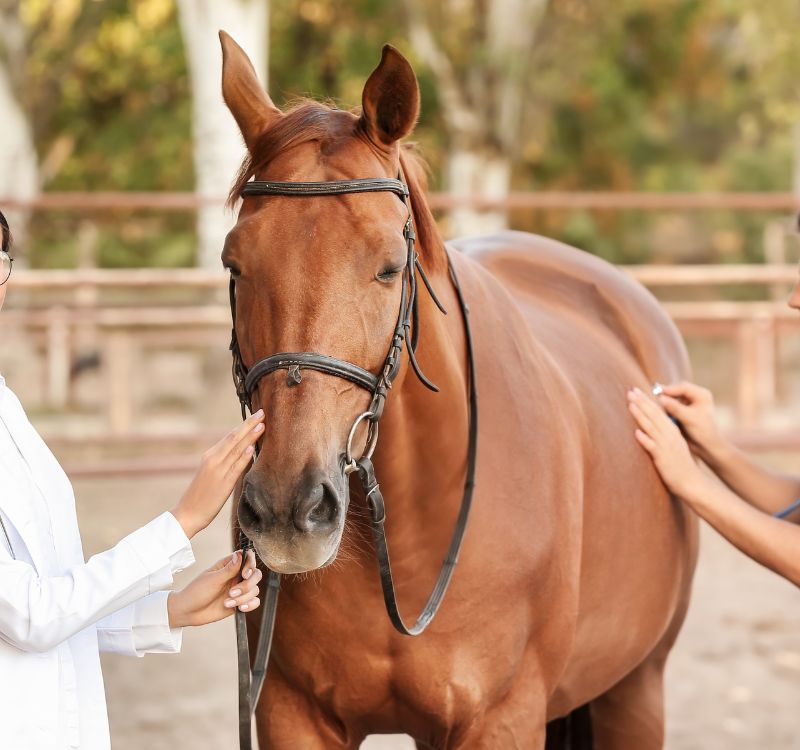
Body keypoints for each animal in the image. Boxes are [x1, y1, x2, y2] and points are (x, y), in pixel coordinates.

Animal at [222, 30, 696, 750]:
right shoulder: (290, 715)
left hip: (636, 689)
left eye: (390, 267)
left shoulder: (502, 718)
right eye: (234, 265)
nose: (285, 508)